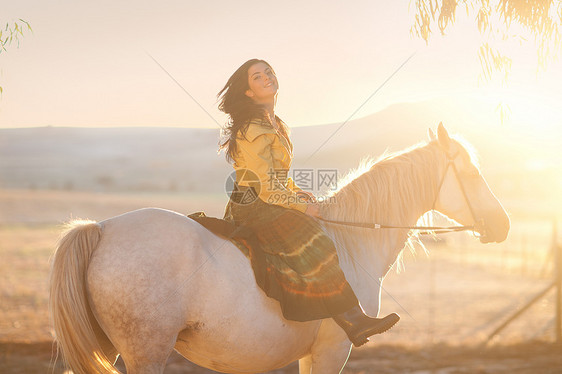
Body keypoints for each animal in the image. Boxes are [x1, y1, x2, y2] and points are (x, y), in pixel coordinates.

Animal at [50, 124, 510, 372]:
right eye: (471, 172)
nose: (502, 225)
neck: (352, 243)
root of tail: (102, 229)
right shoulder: (333, 350)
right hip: (145, 351)